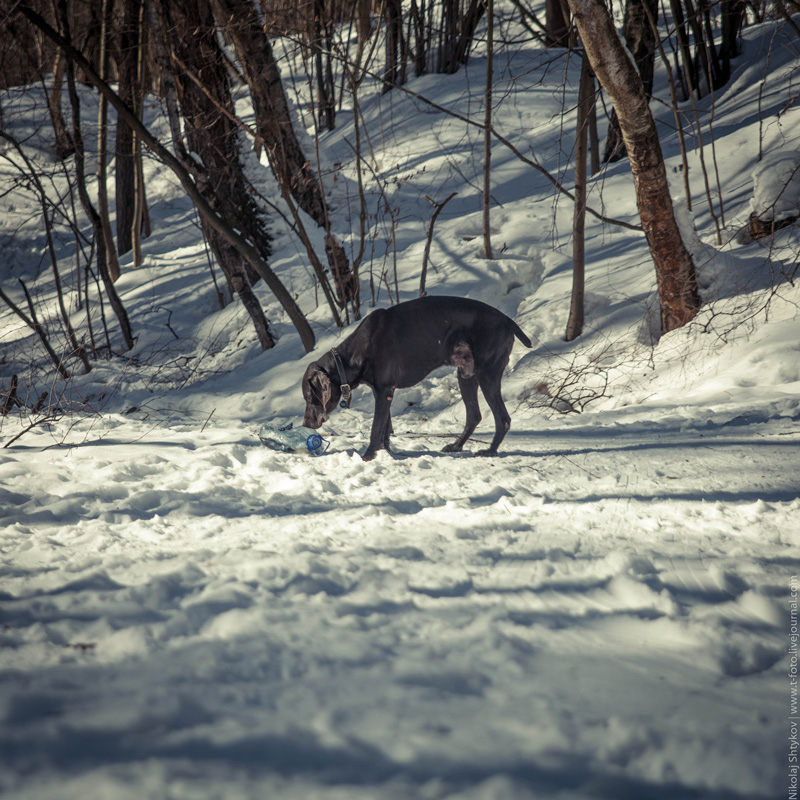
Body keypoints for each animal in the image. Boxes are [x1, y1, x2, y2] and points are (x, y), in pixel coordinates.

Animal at [300, 296, 532, 460]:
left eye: (310, 398)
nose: (306, 424)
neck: (352, 354)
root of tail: (508, 320)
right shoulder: (382, 392)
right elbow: (385, 428)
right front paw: (386, 452)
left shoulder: (384, 391)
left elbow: (375, 428)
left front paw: (368, 456)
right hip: (466, 375)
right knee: (474, 416)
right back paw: (456, 446)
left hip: (487, 375)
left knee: (503, 419)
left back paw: (490, 451)